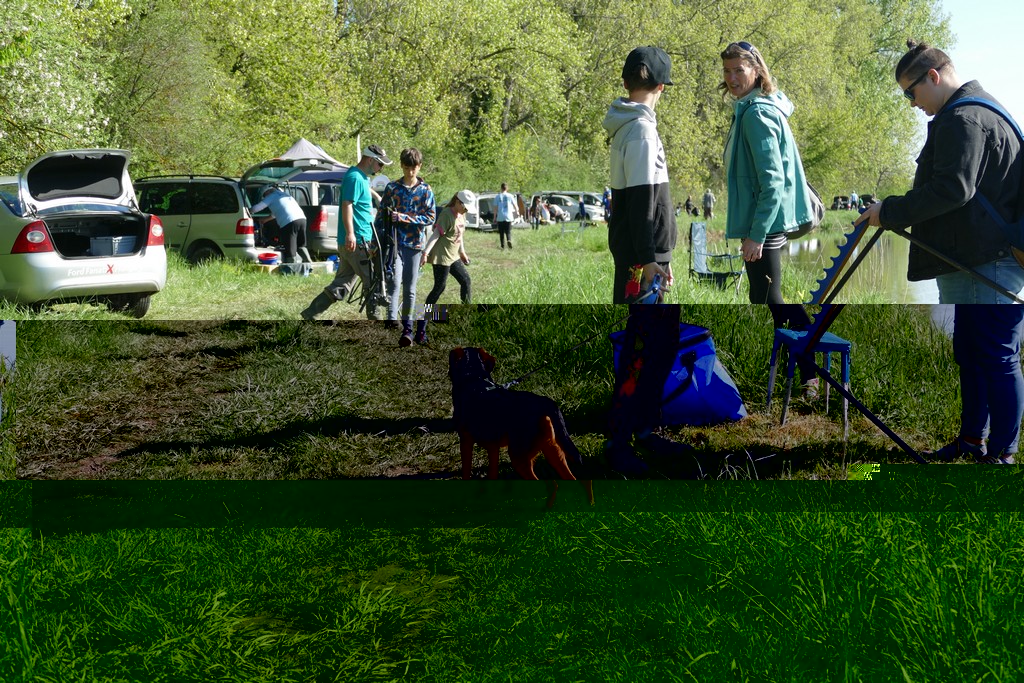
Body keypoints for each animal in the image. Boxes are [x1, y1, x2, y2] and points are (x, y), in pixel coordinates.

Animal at [448, 347, 594, 507]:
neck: (474, 378)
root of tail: (544, 402)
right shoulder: (493, 447)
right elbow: (492, 473)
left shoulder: (466, 441)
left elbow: (466, 470)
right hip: (554, 451)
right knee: (574, 481)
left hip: (519, 456)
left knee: (550, 484)